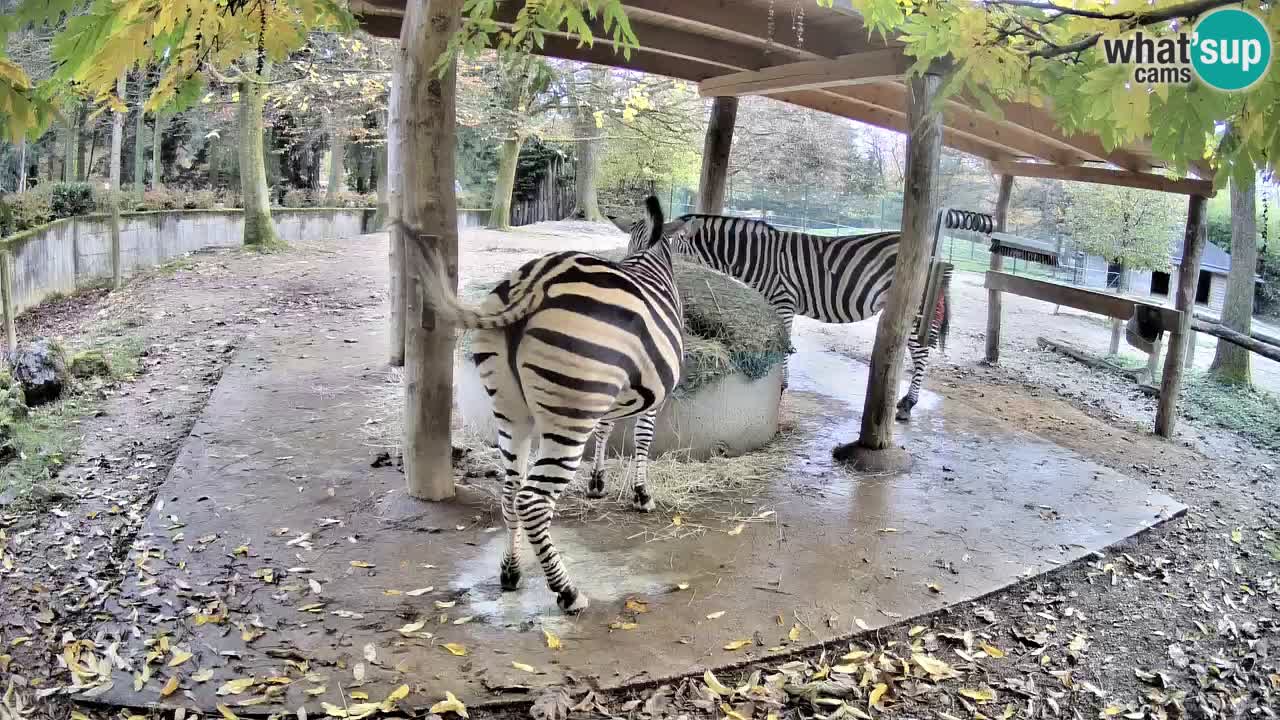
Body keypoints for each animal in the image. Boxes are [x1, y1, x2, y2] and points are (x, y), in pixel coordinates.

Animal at [415, 196, 683, 613]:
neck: (647, 260)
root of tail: (536, 281)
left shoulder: (604, 399)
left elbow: (606, 430)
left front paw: (597, 483)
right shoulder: (652, 395)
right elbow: (642, 439)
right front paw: (641, 495)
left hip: (513, 411)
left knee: (511, 492)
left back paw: (511, 572)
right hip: (571, 412)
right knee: (533, 500)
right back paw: (567, 592)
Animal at [658, 215, 950, 421]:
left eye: (670, 251)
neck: (756, 257)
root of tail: (932, 256)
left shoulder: (783, 299)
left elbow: (786, 344)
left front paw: (782, 386)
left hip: (916, 309)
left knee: (921, 354)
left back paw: (908, 405)